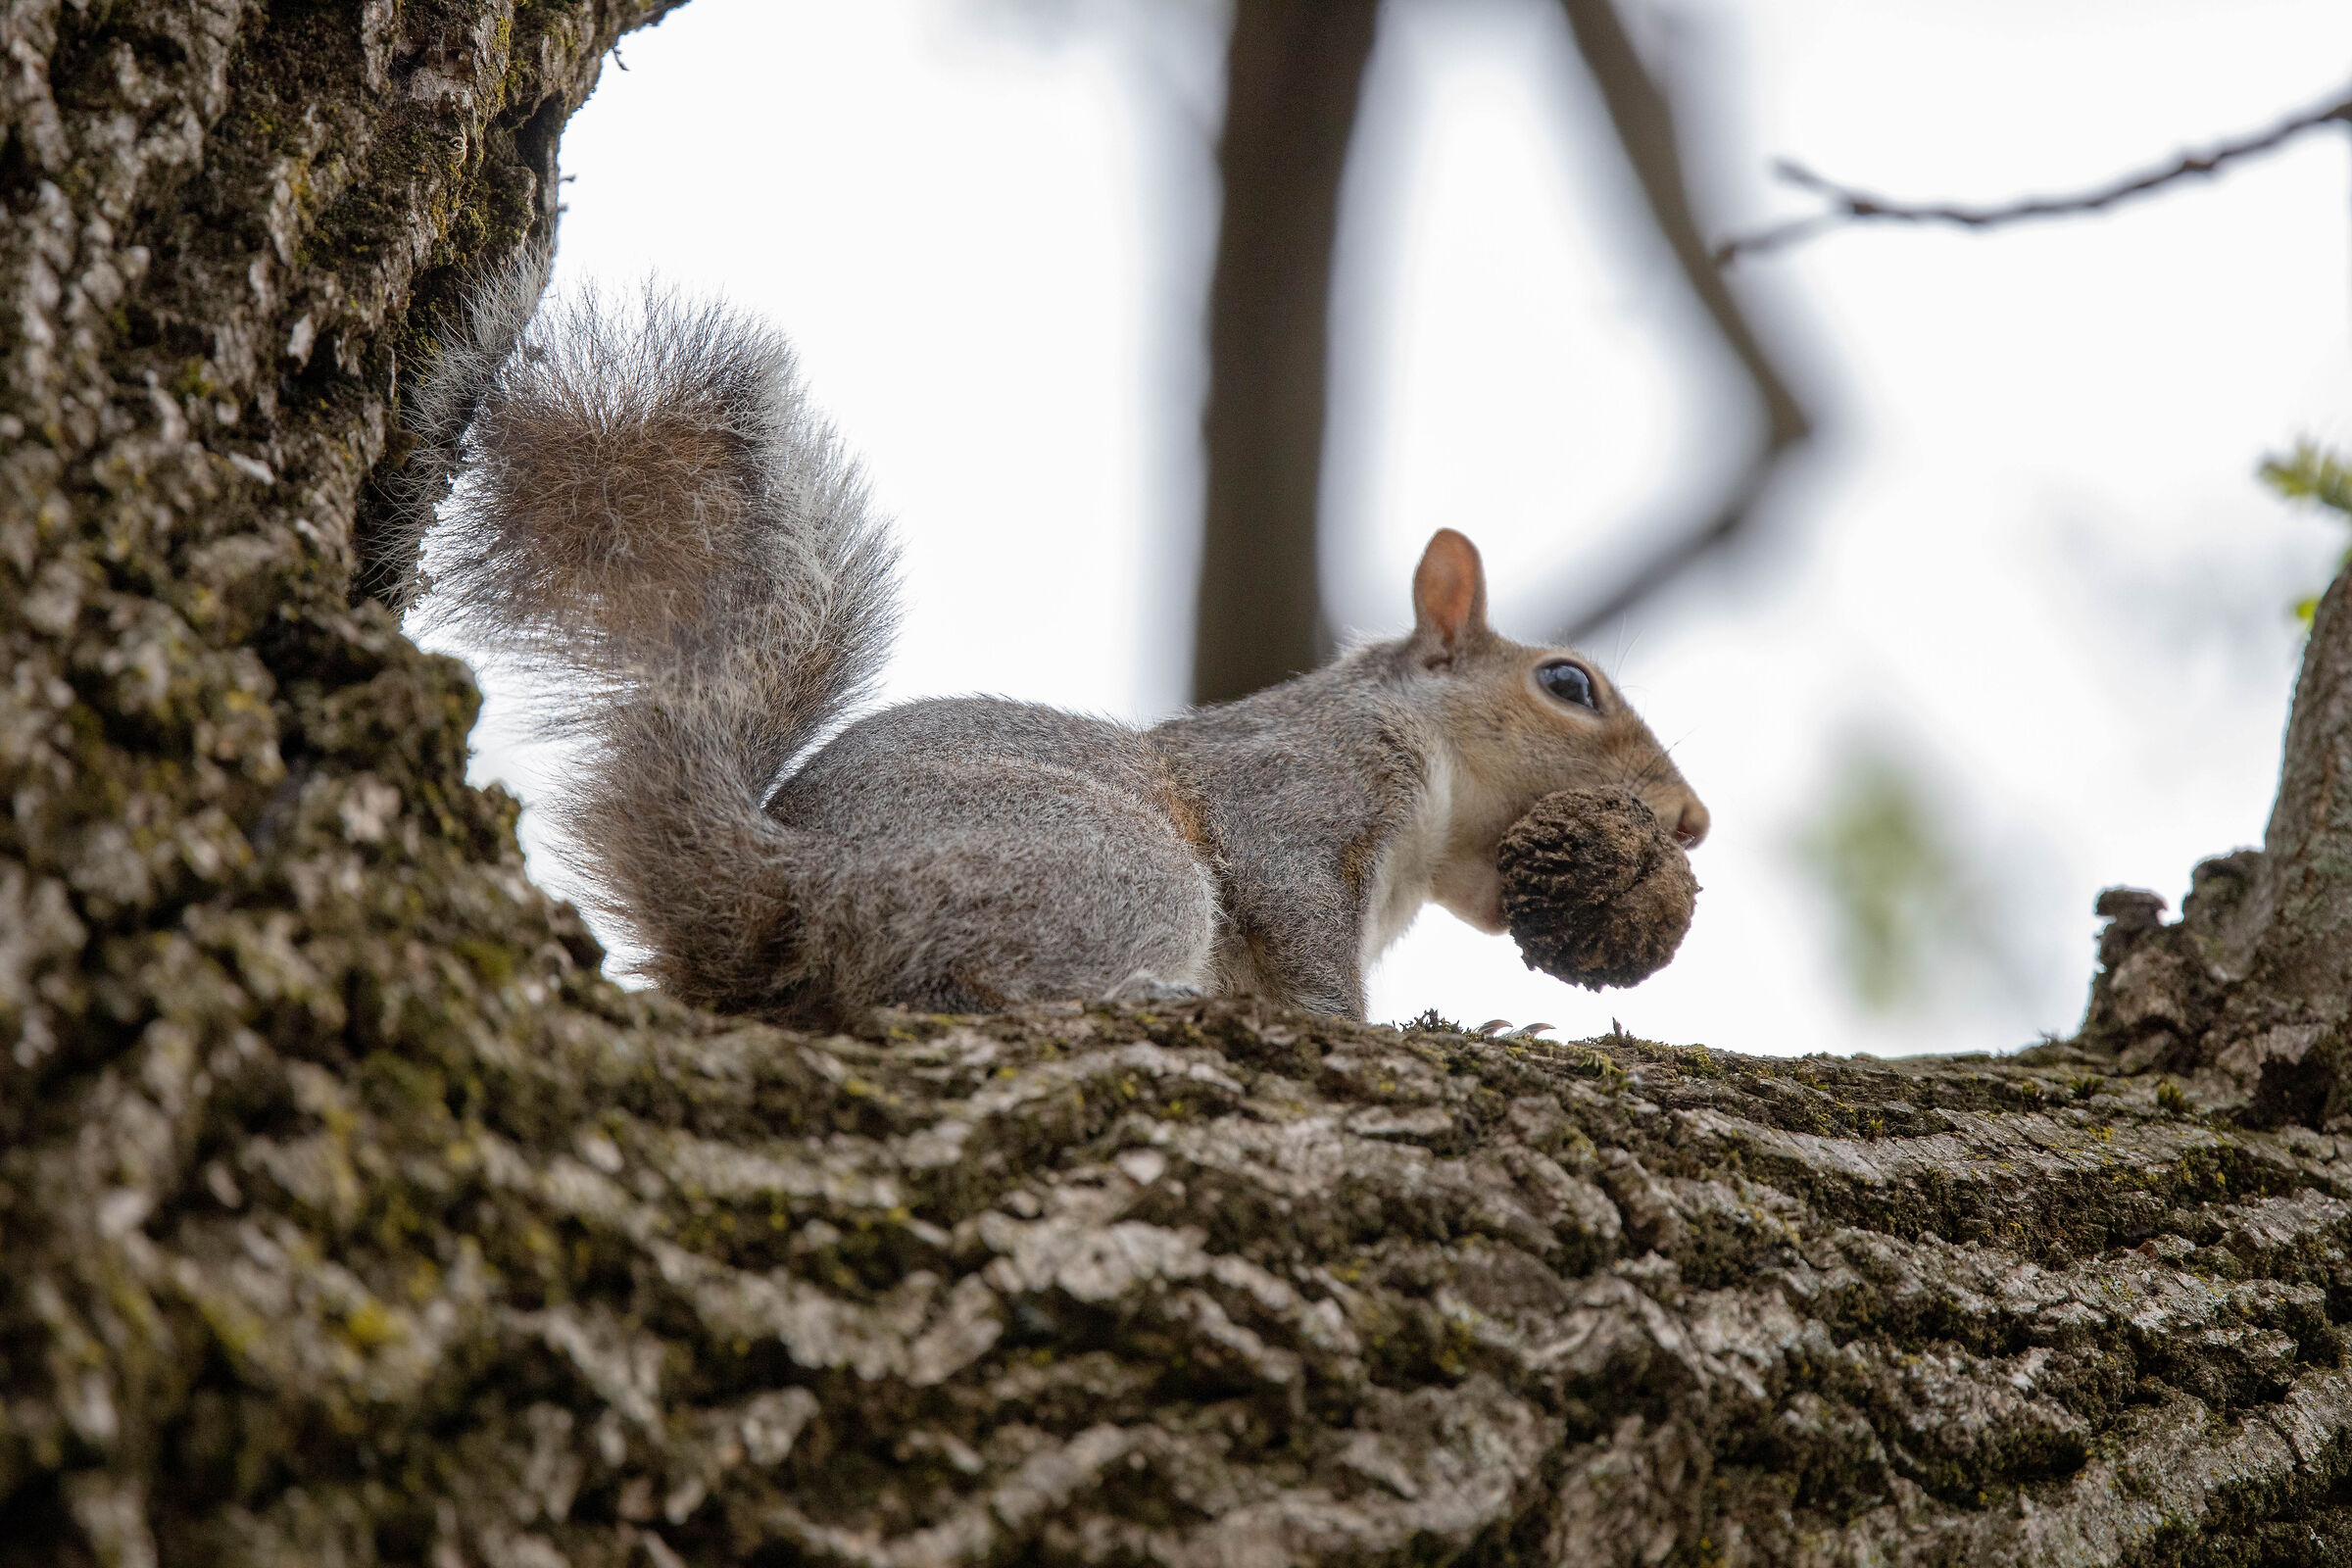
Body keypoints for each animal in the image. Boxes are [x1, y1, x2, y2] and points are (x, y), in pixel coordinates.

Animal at [398, 254, 1710, 1028]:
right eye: (1567, 683)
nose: (1691, 821)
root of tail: (791, 888)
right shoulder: (1300, 794)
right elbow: (1296, 920)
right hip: (1108, 867)